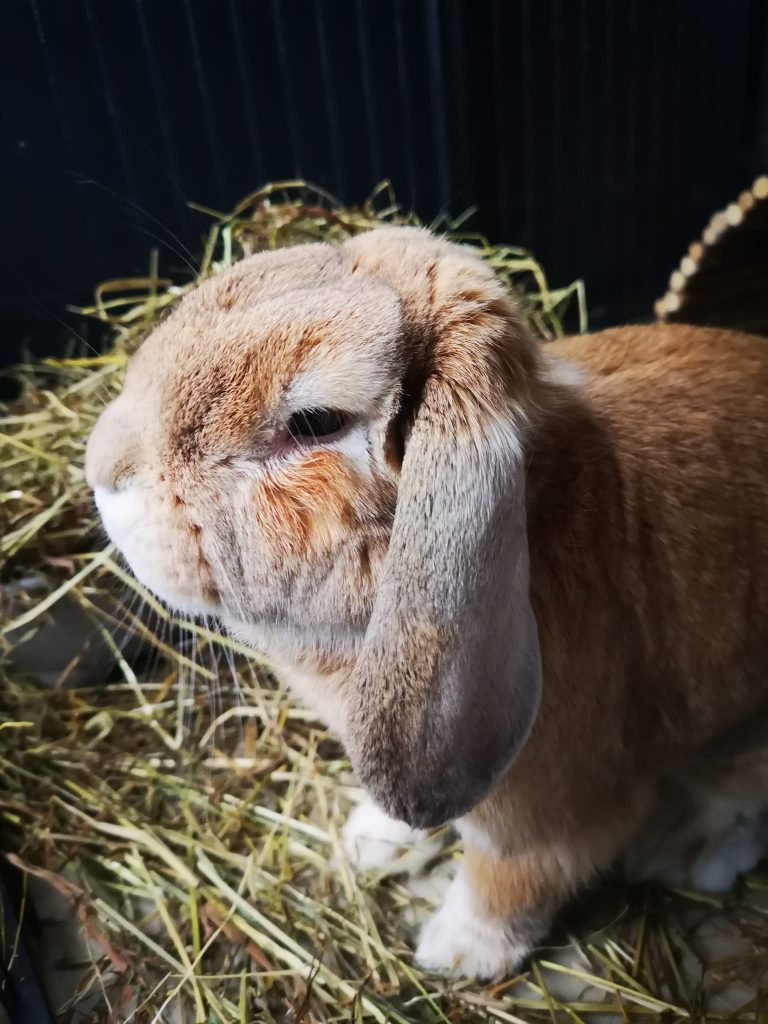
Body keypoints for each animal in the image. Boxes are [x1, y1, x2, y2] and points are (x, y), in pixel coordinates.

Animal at [85, 226, 768, 979]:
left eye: (314, 422)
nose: (102, 467)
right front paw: (370, 839)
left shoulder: (549, 815)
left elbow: (515, 878)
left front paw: (455, 952)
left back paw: (684, 851)